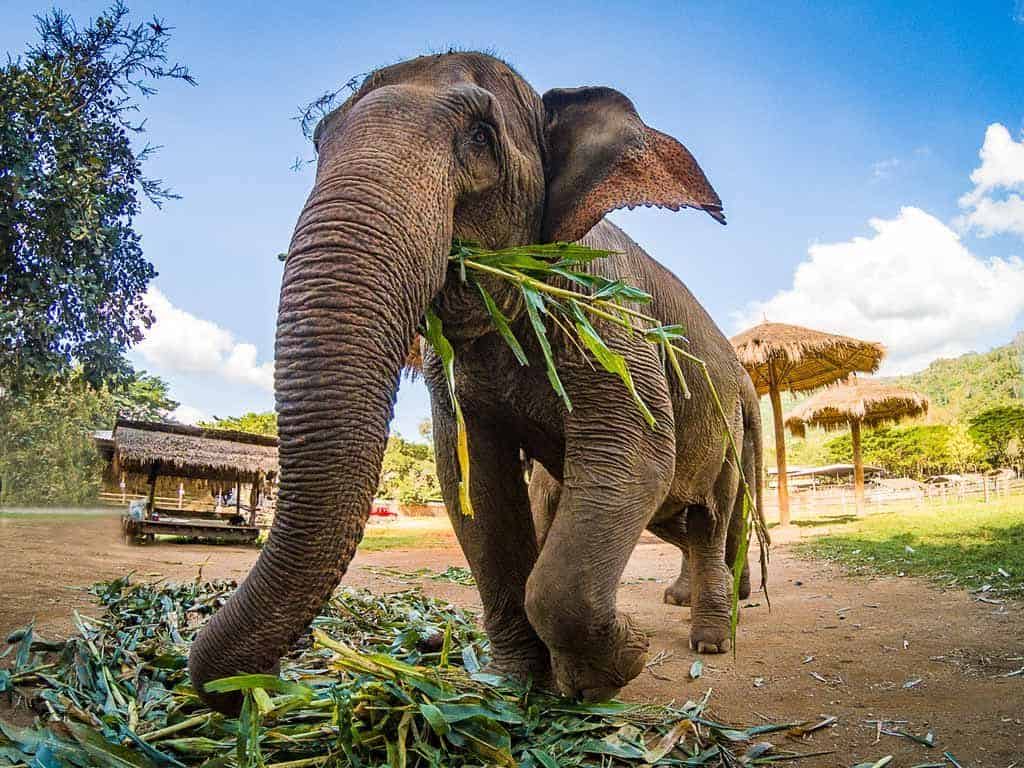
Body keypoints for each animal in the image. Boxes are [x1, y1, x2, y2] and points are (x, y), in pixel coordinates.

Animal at [189, 50, 767, 715]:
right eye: (318, 144)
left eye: (481, 138)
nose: (254, 688)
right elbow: (474, 482)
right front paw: (516, 685)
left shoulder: (606, 313)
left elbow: (636, 451)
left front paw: (615, 665)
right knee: (687, 520)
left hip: (732, 427)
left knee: (711, 517)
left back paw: (711, 639)